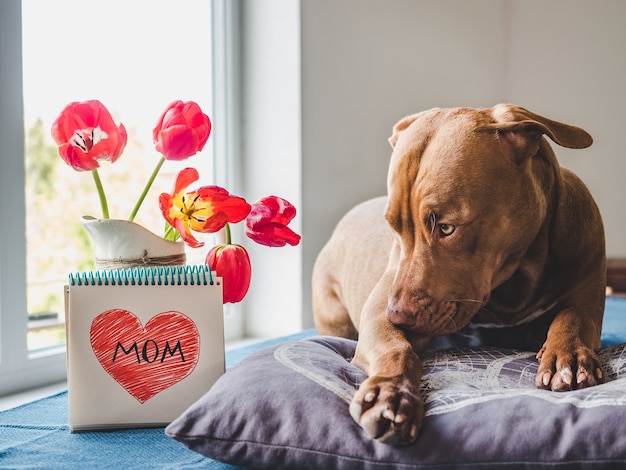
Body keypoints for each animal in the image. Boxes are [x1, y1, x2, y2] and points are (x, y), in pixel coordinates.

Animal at [312, 104, 604, 446]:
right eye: (394, 227)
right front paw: (390, 392)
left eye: (447, 227)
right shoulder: (381, 312)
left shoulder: (586, 293)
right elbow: (395, 348)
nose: (397, 314)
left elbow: (573, 317)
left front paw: (567, 354)